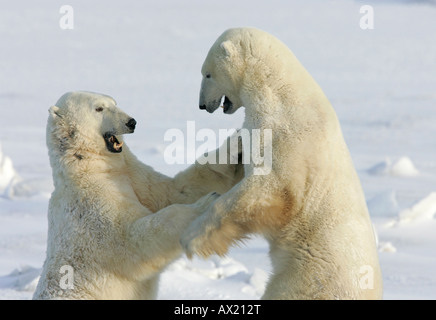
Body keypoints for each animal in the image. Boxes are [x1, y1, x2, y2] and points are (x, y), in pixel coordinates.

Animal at [32, 90, 244, 300]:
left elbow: (176, 190)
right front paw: (205, 203)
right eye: (99, 108)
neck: (87, 167)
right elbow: (132, 240)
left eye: (114, 102)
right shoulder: (90, 205)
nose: (131, 122)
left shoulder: (133, 175)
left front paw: (237, 143)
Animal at [182, 27, 384, 300]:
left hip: (309, 275)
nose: (203, 105)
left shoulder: (286, 135)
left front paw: (191, 237)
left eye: (208, 74)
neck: (277, 91)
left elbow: (272, 188)